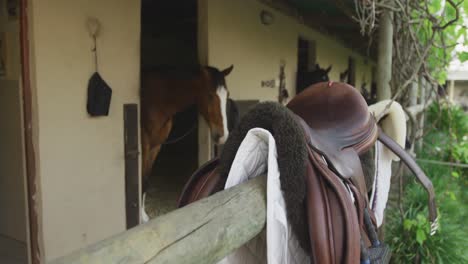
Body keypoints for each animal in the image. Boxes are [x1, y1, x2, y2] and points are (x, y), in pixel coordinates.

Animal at [139, 65, 234, 222]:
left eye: (227, 95)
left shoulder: (155, 147)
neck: (158, 101)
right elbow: (141, 179)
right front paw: (140, 217)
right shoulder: (144, 146)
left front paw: (144, 216)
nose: (223, 135)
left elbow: (146, 179)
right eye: (209, 95)